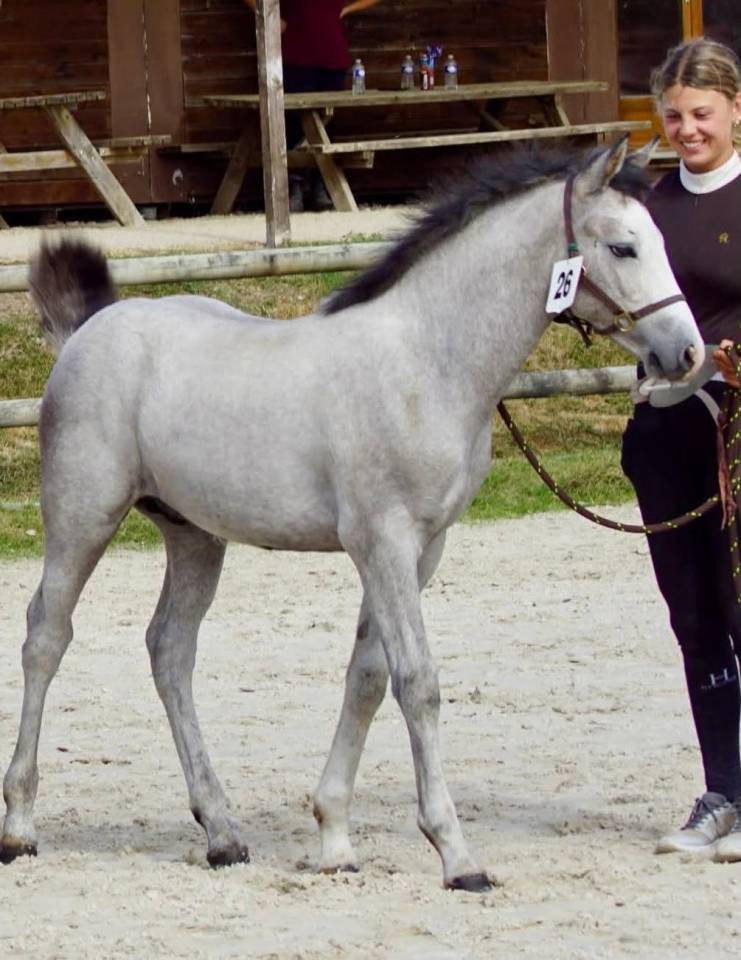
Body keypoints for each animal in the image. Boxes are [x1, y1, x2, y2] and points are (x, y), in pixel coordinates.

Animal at [0, 138, 703, 891]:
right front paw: (456, 855)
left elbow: (367, 677)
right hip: (83, 516)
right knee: (47, 636)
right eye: (624, 246)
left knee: (170, 650)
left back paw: (221, 832)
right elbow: (417, 681)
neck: (425, 360)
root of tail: (92, 328)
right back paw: (20, 826)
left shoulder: (421, 548)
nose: (686, 353)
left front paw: (334, 838)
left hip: (194, 536)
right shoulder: (383, 541)